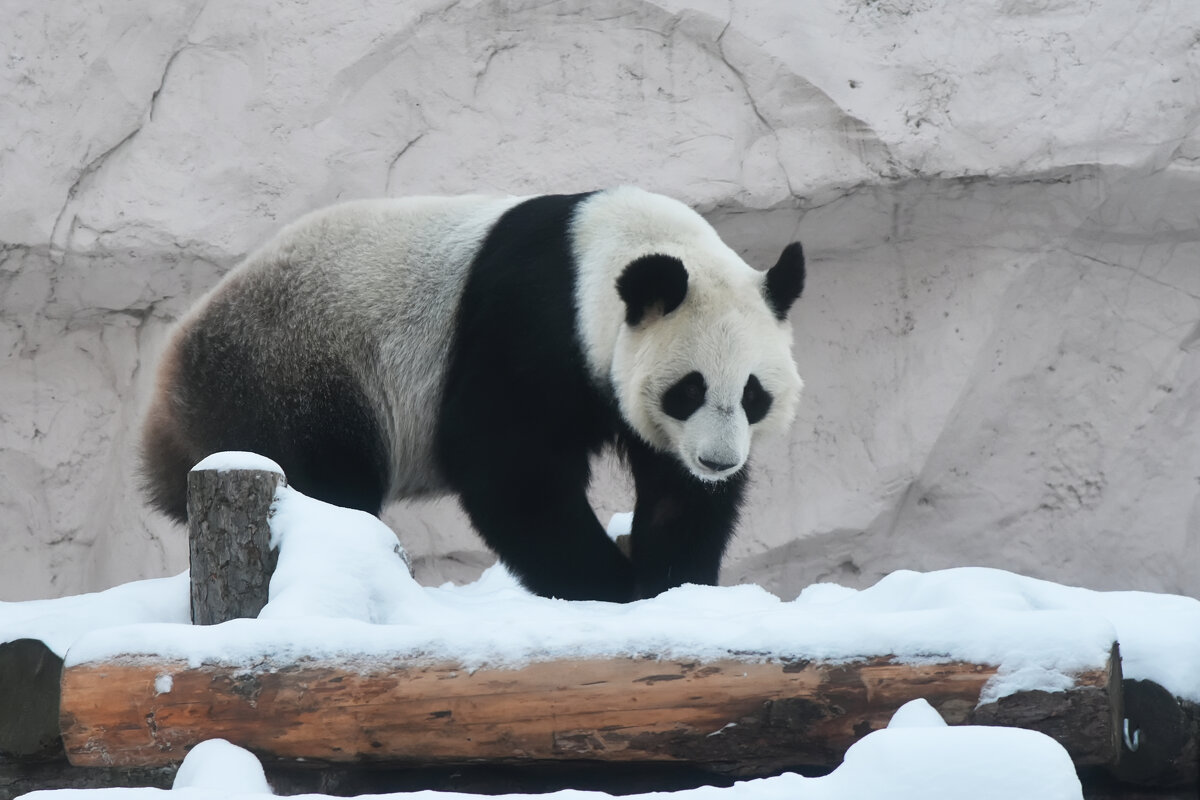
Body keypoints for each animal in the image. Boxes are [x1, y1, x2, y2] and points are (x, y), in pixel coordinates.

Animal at [142, 188, 806, 599]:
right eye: (688, 390)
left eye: (754, 395)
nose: (718, 461)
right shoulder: (529, 323)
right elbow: (505, 463)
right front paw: (606, 585)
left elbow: (675, 491)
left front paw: (674, 583)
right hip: (294, 368)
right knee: (324, 479)